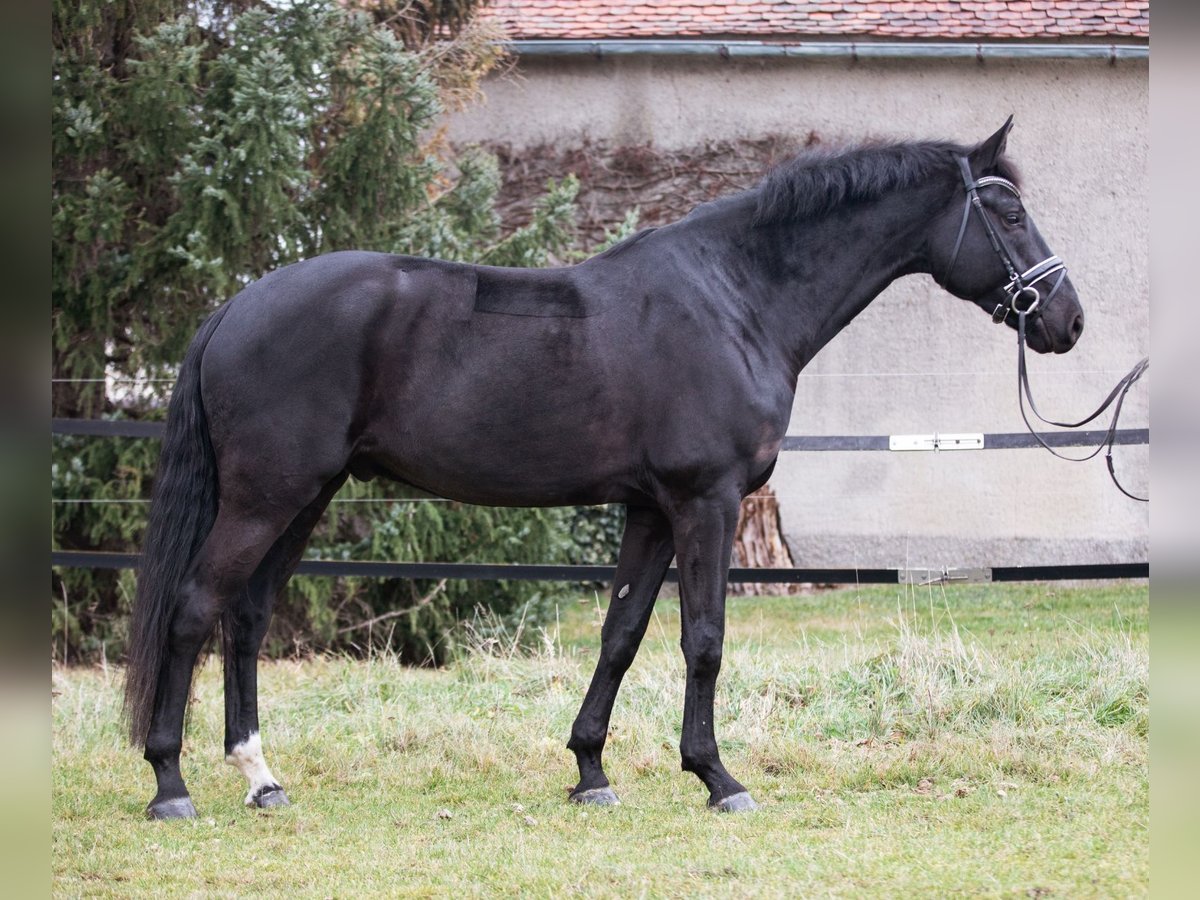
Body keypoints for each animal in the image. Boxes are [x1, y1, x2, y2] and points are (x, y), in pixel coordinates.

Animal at [124, 121, 1089, 825]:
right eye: (1007, 214)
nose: (1067, 319)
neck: (735, 297)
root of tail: (237, 305)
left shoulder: (651, 511)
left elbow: (620, 635)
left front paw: (590, 770)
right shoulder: (705, 502)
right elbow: (703, 639)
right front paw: (718, 777)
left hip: (305, 498)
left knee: (247, 618)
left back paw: (260, 777)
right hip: (267, 496)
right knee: (195, 610)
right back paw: (170, 784)